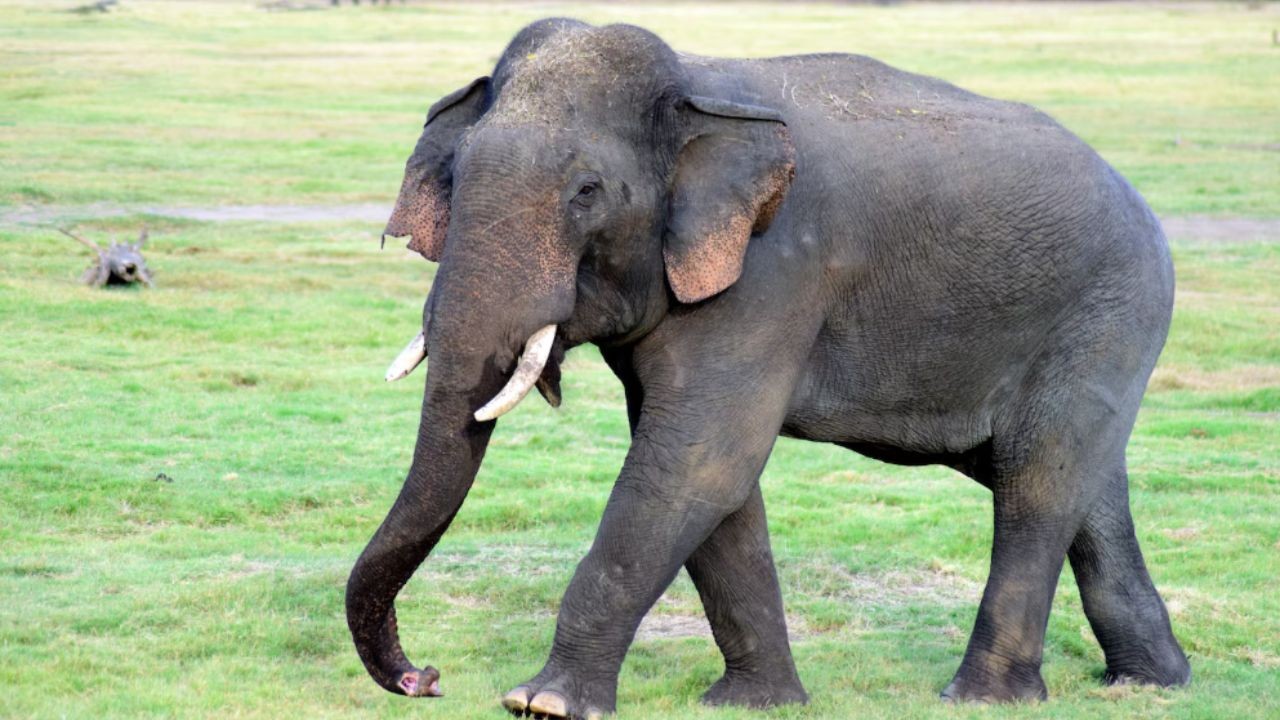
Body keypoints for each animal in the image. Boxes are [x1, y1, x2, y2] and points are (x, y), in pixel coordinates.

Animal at [348, 18, 1191, 718]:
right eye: (454, 177)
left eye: (586, 193)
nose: (425, 678)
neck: (695, 83)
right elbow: (713, 480)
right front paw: (756, 705)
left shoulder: (773, 272)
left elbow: (695, 463)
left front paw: (542, 705)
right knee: (1084, 484)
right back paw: (1152, 684)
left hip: (1109, 310)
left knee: (1036, 482)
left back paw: (983, 699)